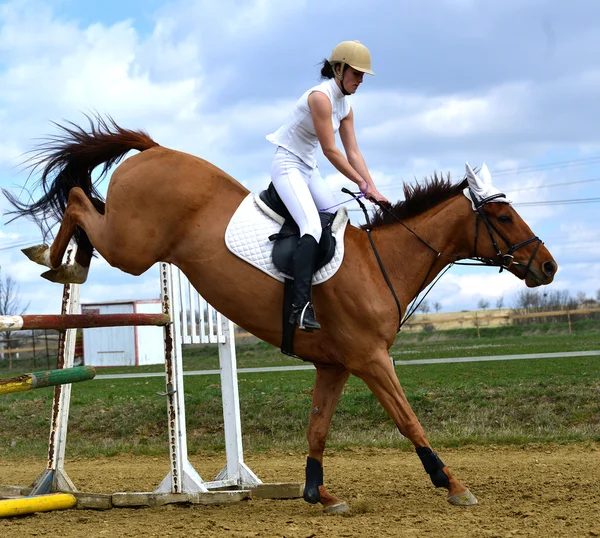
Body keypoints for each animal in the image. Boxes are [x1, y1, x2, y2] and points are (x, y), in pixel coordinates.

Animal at [5, 117, 556, 510]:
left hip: (131, 243)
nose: (548, 266)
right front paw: (453, 484)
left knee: (84, 207)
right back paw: (56, 260)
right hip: (133, 246)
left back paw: (69, 262)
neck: (383, 263)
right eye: (503, 216)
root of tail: (155, 149)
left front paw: (319, 494)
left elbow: (318, 428)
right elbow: (409, 421)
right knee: (80, 200)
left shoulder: (335, 365)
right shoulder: (371, 359)